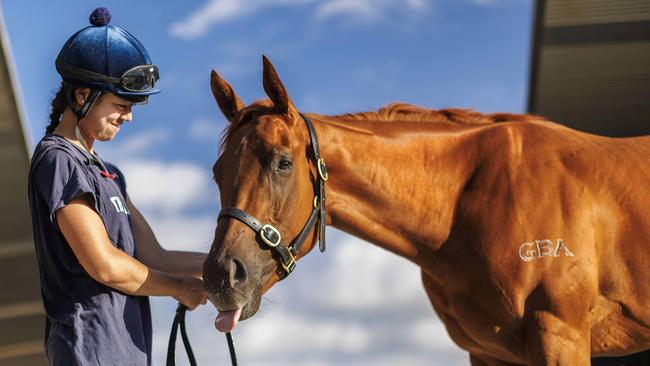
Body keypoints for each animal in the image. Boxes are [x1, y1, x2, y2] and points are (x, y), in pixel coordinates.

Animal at [202, 55, 650, 364]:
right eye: (216, 172)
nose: (221, 276)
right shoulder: (489, 353)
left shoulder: (559, 336)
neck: (469, 201)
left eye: (282, 162)